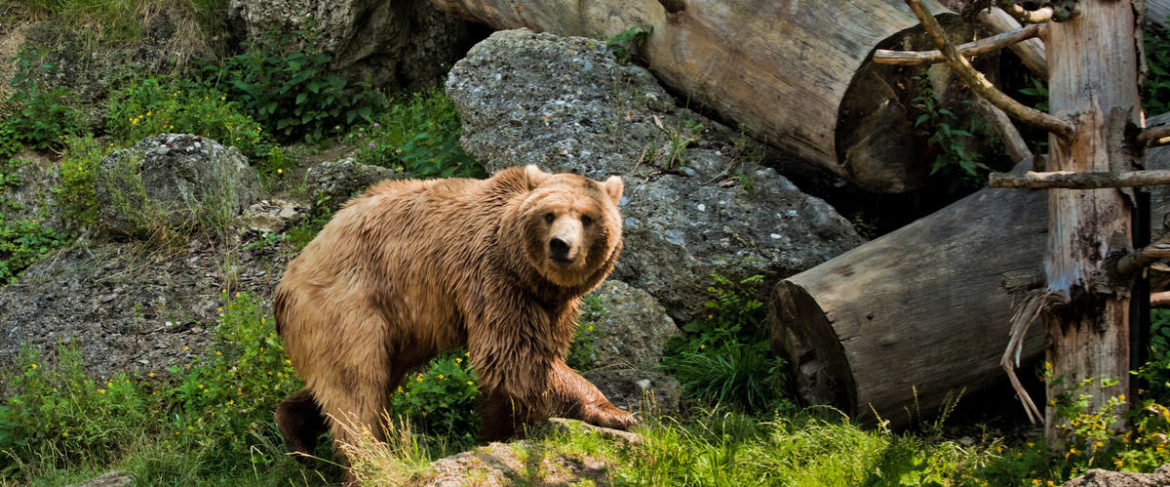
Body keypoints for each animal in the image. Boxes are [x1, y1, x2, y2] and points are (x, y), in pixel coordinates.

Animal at [270, 165, 636, 465]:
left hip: (390, 327)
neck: (527, 272)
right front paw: (617, 413)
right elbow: (515, 356)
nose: (561, 244)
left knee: (355, 380)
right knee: (356, 388)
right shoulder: (492, 277)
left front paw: (498, 432)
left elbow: (518, 372)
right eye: (549, 214)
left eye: (587, 218)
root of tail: (288, 279)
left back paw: (296, 431)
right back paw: (371, 460)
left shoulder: (548, 304)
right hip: (347, 303)